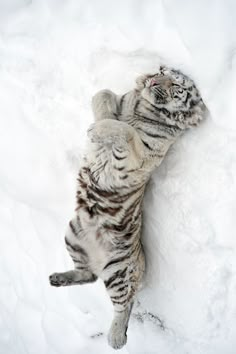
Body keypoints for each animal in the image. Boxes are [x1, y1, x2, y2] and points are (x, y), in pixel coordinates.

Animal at [49, 65, 206, 348]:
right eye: (162, 70)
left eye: (177, 85)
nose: (153, 80)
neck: (144, 107)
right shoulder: (119, 100)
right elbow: (103, 94)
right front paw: (101, 121)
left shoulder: (141, 156)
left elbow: (125, 130)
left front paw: (98, 128)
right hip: (73, 235)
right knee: (88, 275)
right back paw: (57, 278)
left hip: (120, 271)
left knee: (125, 303)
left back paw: (116, 338)